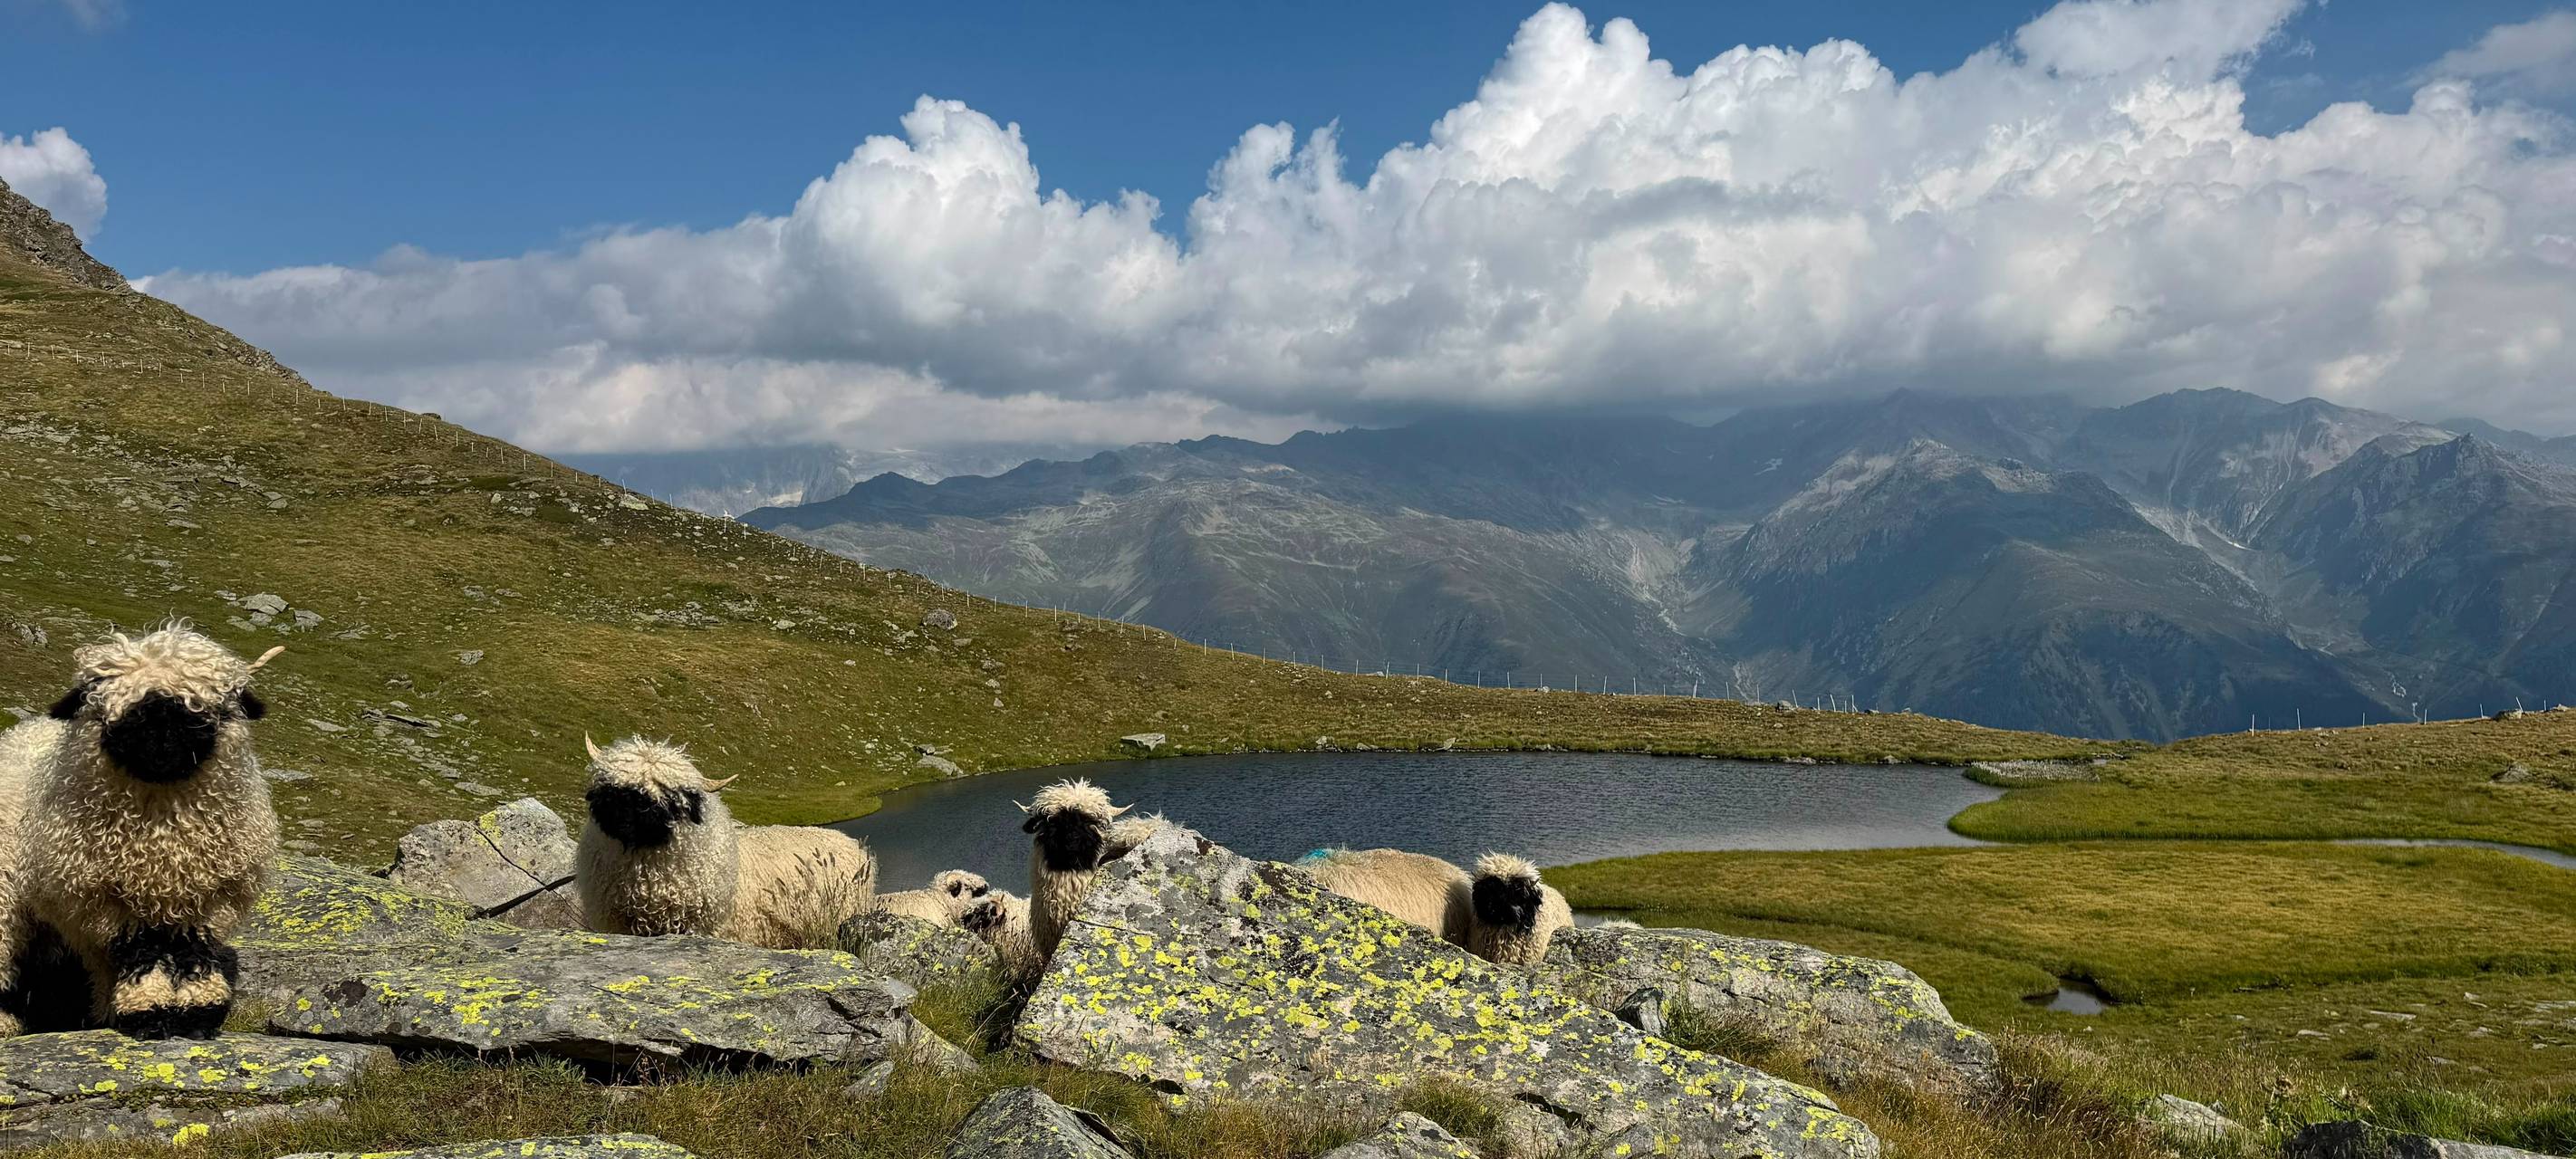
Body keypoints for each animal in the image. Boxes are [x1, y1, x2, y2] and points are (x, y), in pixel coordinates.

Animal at [18, 626, 283, 1038]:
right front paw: (148, 1012)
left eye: (199, 712)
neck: (162, 835)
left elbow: (195, 951)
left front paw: (198, 1013)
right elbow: (140, 953)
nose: (161, 748)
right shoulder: (108, 899)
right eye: (123, 714)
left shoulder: (210, 897)